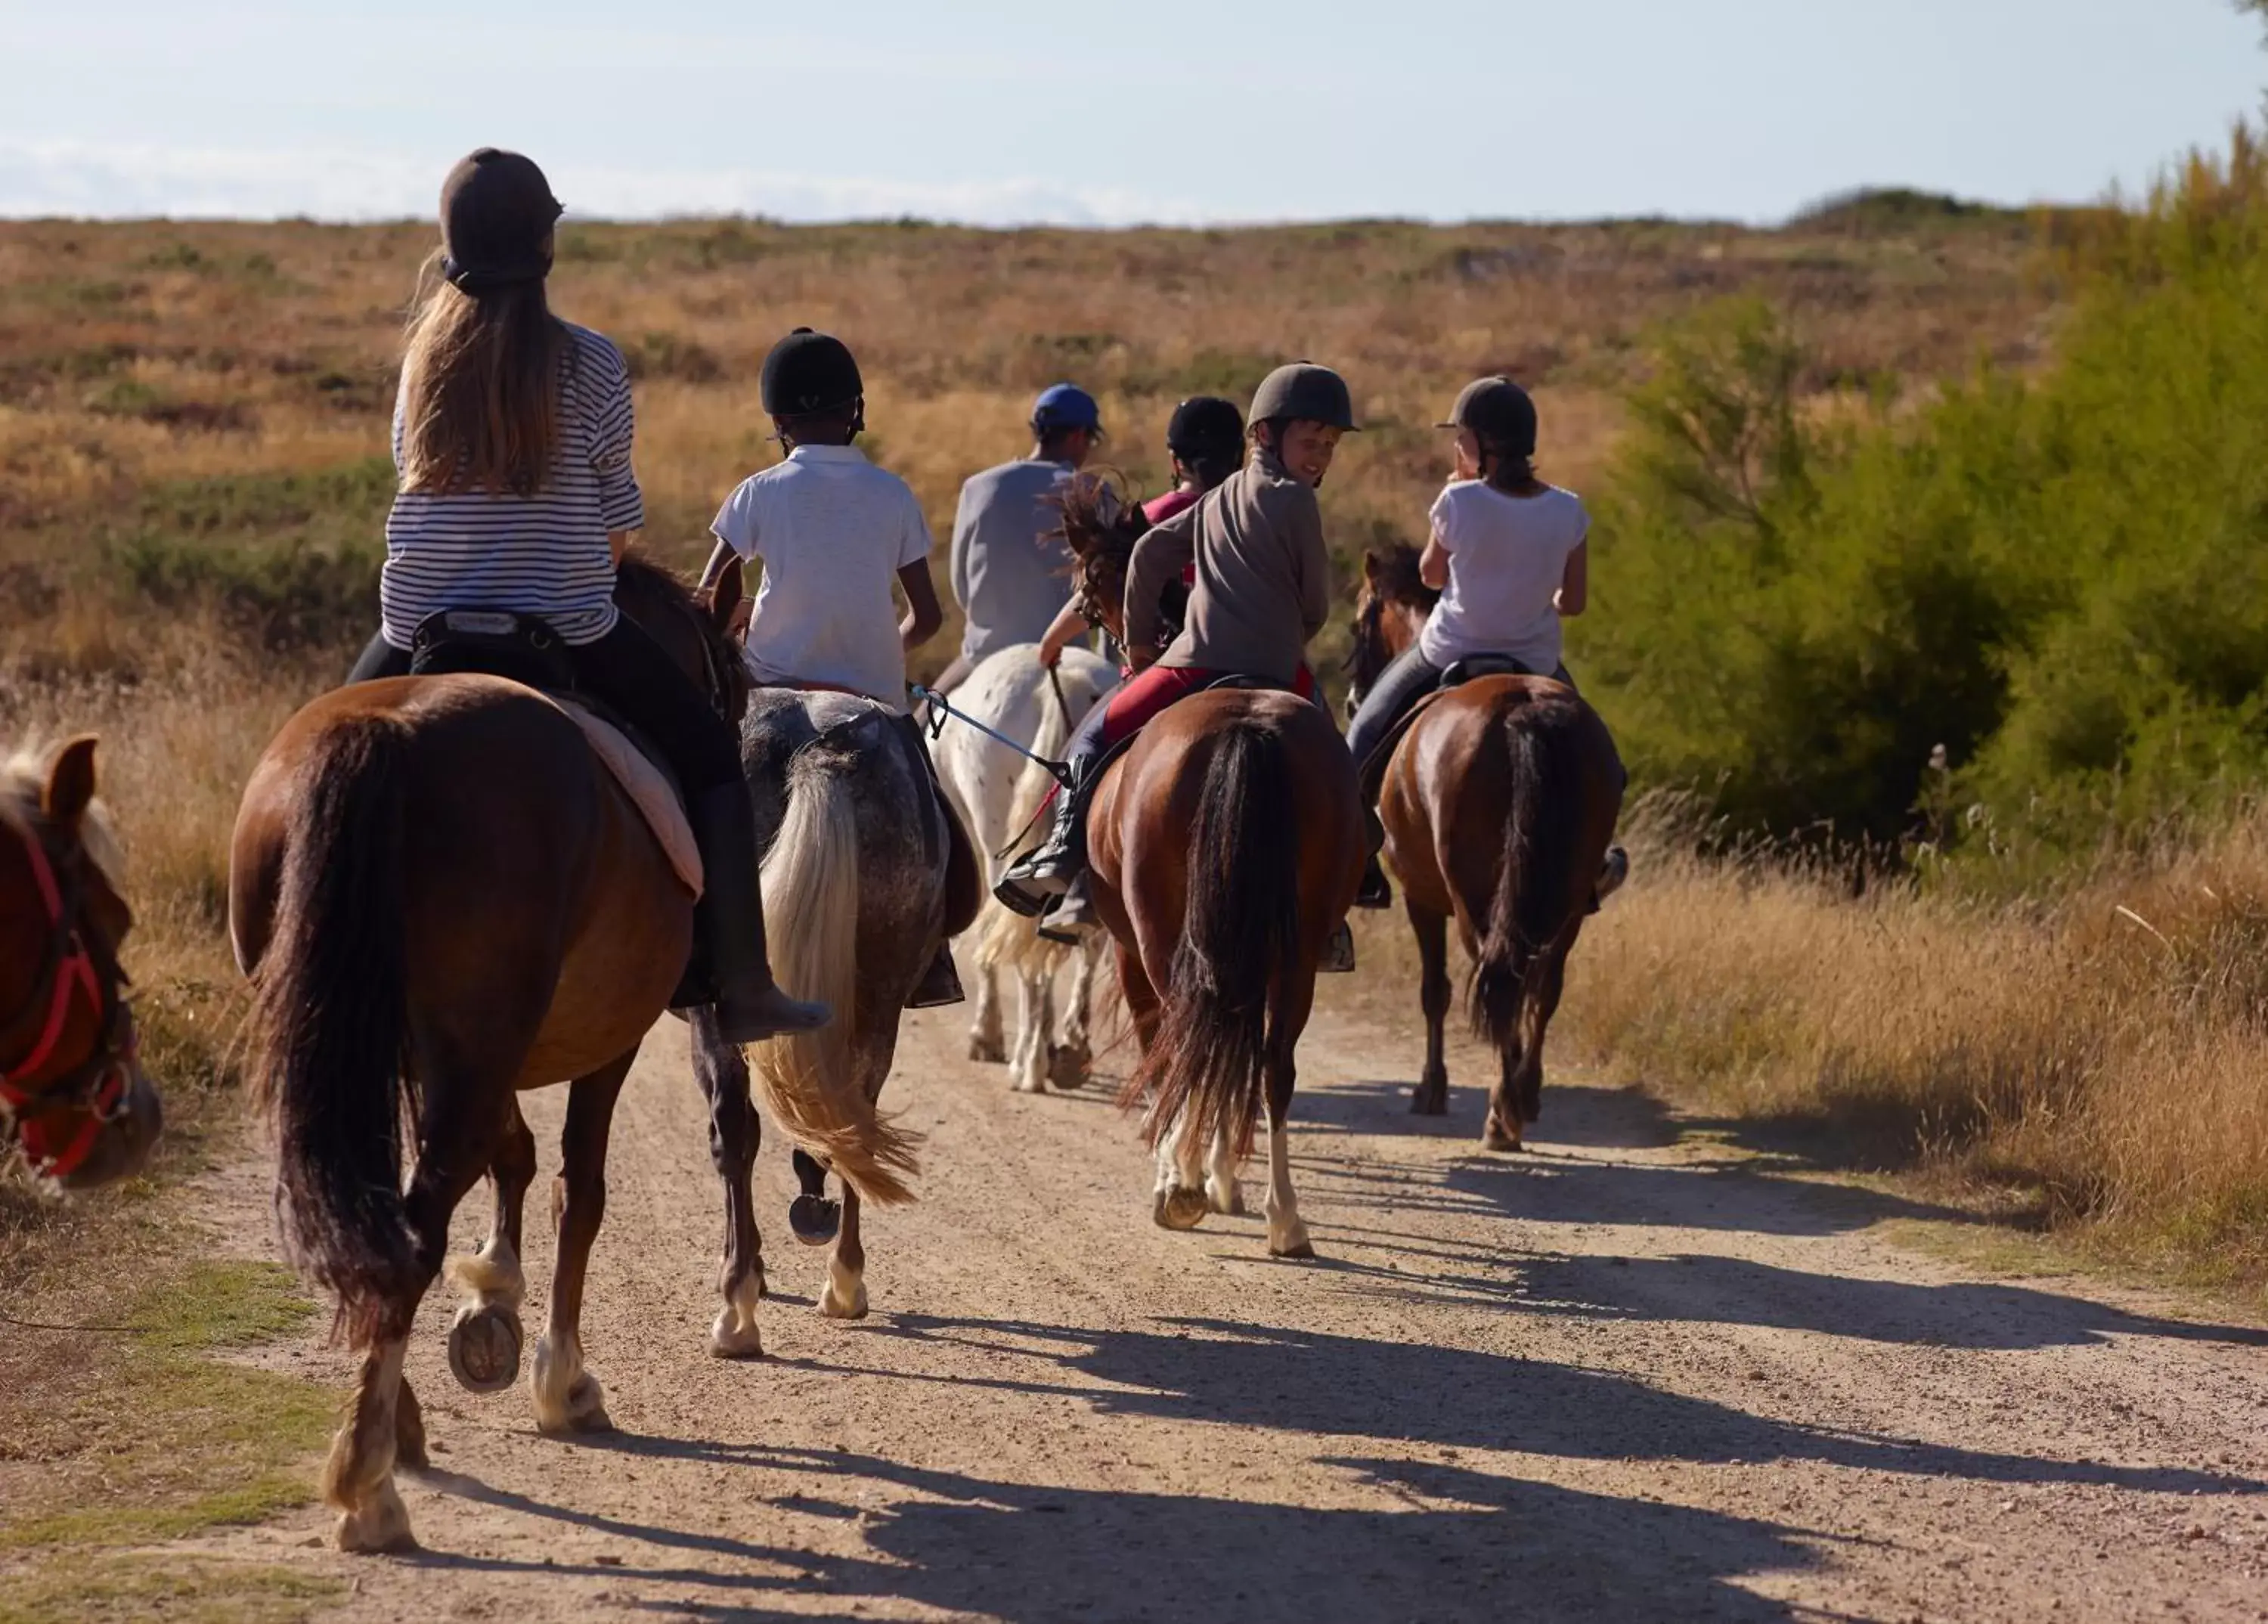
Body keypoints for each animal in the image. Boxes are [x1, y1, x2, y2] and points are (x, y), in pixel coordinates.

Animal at [230, 551, 794, 1551]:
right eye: (728, 688)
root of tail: (390, 738)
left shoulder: (449, 1056)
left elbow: (517, 1158)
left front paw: (492, 1295)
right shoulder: (608, 1039)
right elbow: (581, 1189)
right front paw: (563, 1380)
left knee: (386, 1226)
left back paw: (395, 1428)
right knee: (413, 1231)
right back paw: (369, 1481)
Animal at [1052, 470, 1352, 1252]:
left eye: (1092, 584)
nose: (1119, 643)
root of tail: (1246, 725)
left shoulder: (1128, 946)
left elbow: (1161, 1046)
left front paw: (1186, 1174)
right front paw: (1222, 1176)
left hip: (1160, 936)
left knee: (1187, 1028)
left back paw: (1182, 1188)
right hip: (1296, 947)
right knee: (1271, 1061)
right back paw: (1285, 1216)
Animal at [1343, 542, 1633, 1143]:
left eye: (1359, 622)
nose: (1355, 701)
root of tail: (1523, 709)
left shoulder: (1422, 896)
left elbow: (1435, 991)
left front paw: (1431, 1089)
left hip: (1472, 894)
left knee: (1498, 973)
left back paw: (1501, 1114)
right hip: (1569, 894)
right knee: (1542, 981)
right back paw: (1521, 1095)